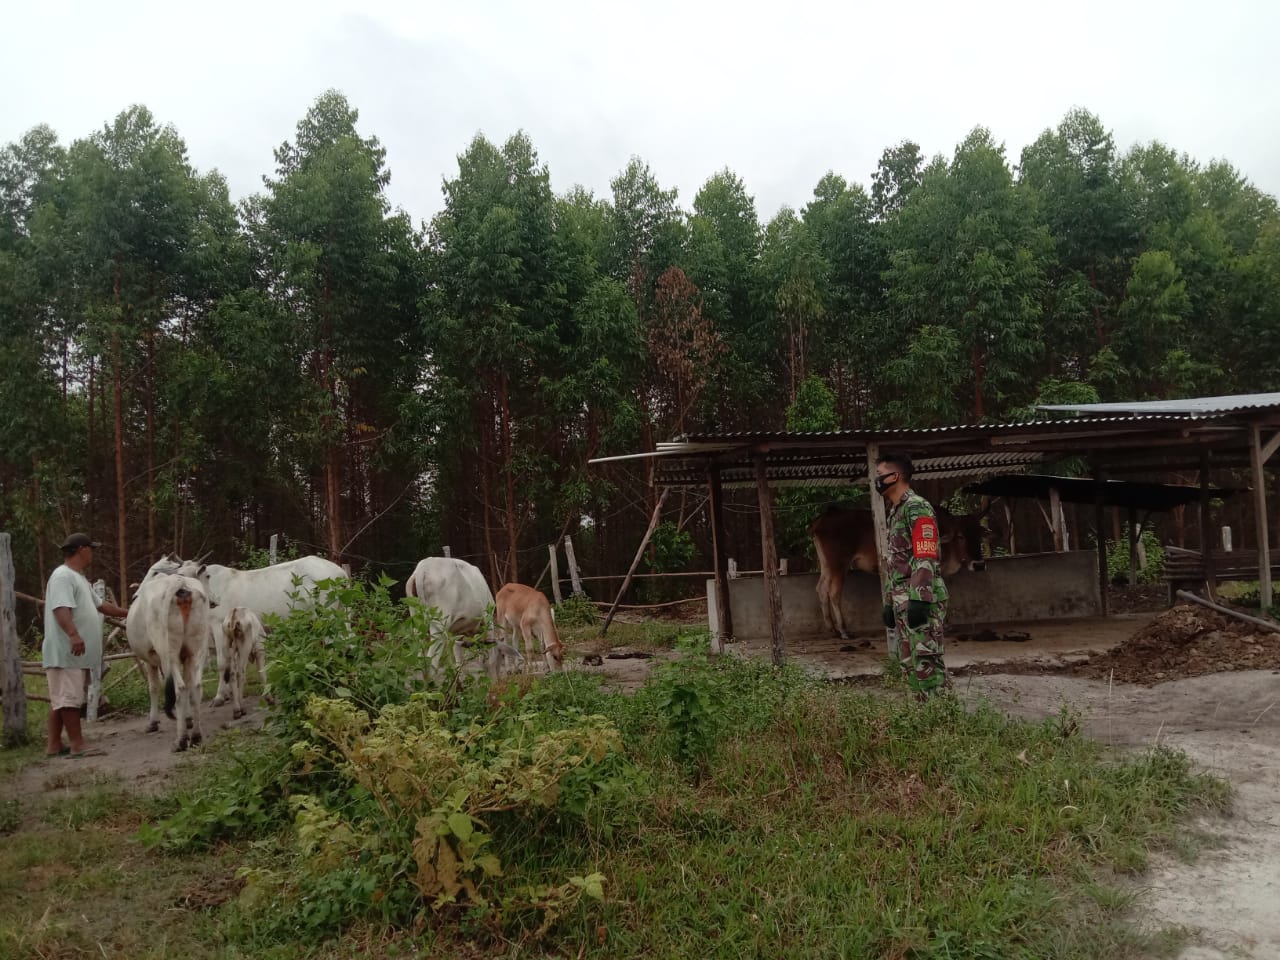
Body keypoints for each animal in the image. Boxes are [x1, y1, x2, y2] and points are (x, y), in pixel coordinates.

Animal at [126, 570, 211, 752]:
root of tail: (179, 583)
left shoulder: (150, 660)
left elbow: (153, 687)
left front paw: (153, 723)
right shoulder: (186, 658)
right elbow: (188, 686)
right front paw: (187, 718)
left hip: (169, 653)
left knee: (179, 688)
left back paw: (180, 741)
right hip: (198, 649)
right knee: (195, 687)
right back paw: (196, 736)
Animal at [401, 555, 517, 686]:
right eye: (501, 656)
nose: (498, 680)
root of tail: (423, 568)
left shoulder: (456, 633)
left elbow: (459, 662)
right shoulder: (488, 620)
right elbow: (489, 659)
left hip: (416, 622)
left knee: (418, 660)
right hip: (439, 624)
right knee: (431, 663)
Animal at [814, 506, 983, 642]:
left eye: (980, 535)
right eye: (961, 536)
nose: (979, 564)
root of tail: (822, 519)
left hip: (827, 566)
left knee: (821, 589)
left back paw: (832, 629)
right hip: (839, 565)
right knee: (834, 593)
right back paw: (843, 630)